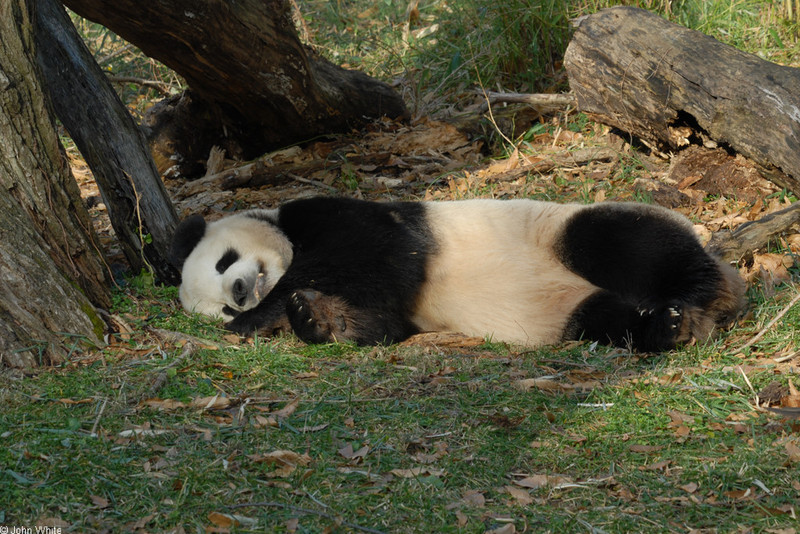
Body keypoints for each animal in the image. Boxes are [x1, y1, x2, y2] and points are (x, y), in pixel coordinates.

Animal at [169, 197, 744, 352]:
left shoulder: (340, 217)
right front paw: (313, 318)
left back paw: (704, 297)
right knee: (605, 319)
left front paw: (270, 312)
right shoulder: (397, 312)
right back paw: (666, 326)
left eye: (223, 261)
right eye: (221, 302)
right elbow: (377, 323)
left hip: (561, 229)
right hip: (572, 313)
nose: (241, 294)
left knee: (624, 243)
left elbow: (372, 251)